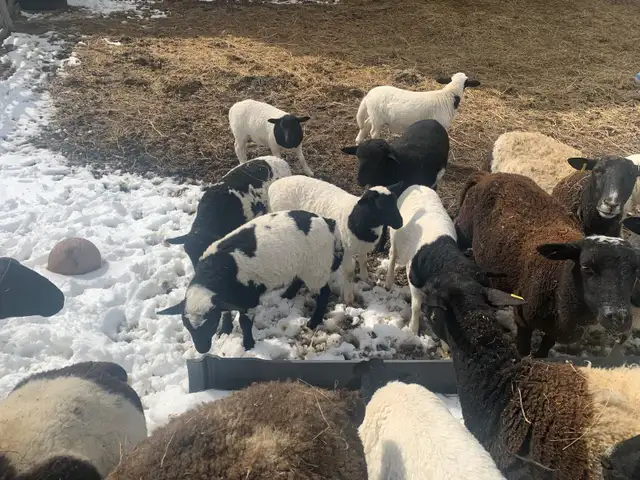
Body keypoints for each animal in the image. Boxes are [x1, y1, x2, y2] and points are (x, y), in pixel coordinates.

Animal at [157, 210, 344, 352]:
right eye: (187, 326)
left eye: (210, 324)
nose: (202, 350)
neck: (217, 272)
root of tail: (326, 222)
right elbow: (226, 311)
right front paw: (224, 330)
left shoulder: (249, 298)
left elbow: (245, 323)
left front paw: (248, 345)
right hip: (301, 264)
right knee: (298, 279)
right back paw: (287, 295)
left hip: (316, 268)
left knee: (324, 292)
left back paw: (313, 322)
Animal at [267, 176, 403, 305]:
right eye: (381, 205)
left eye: (395, 202)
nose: (400, 223)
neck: (357, 219)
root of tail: (273, 185)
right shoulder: (347, 250)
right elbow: (349, 272)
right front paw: (349, 299)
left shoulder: (362, 247)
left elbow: (363, 261)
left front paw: (366, 279)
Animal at [455, 171, 640, 358]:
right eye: (586, 267)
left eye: (636, 271)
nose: (619, 319)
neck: (559, 279)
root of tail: (487, 175)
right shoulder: (522, 319)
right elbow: (524, 352)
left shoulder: (554, 333)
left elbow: (543, 353)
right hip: (463, 233)